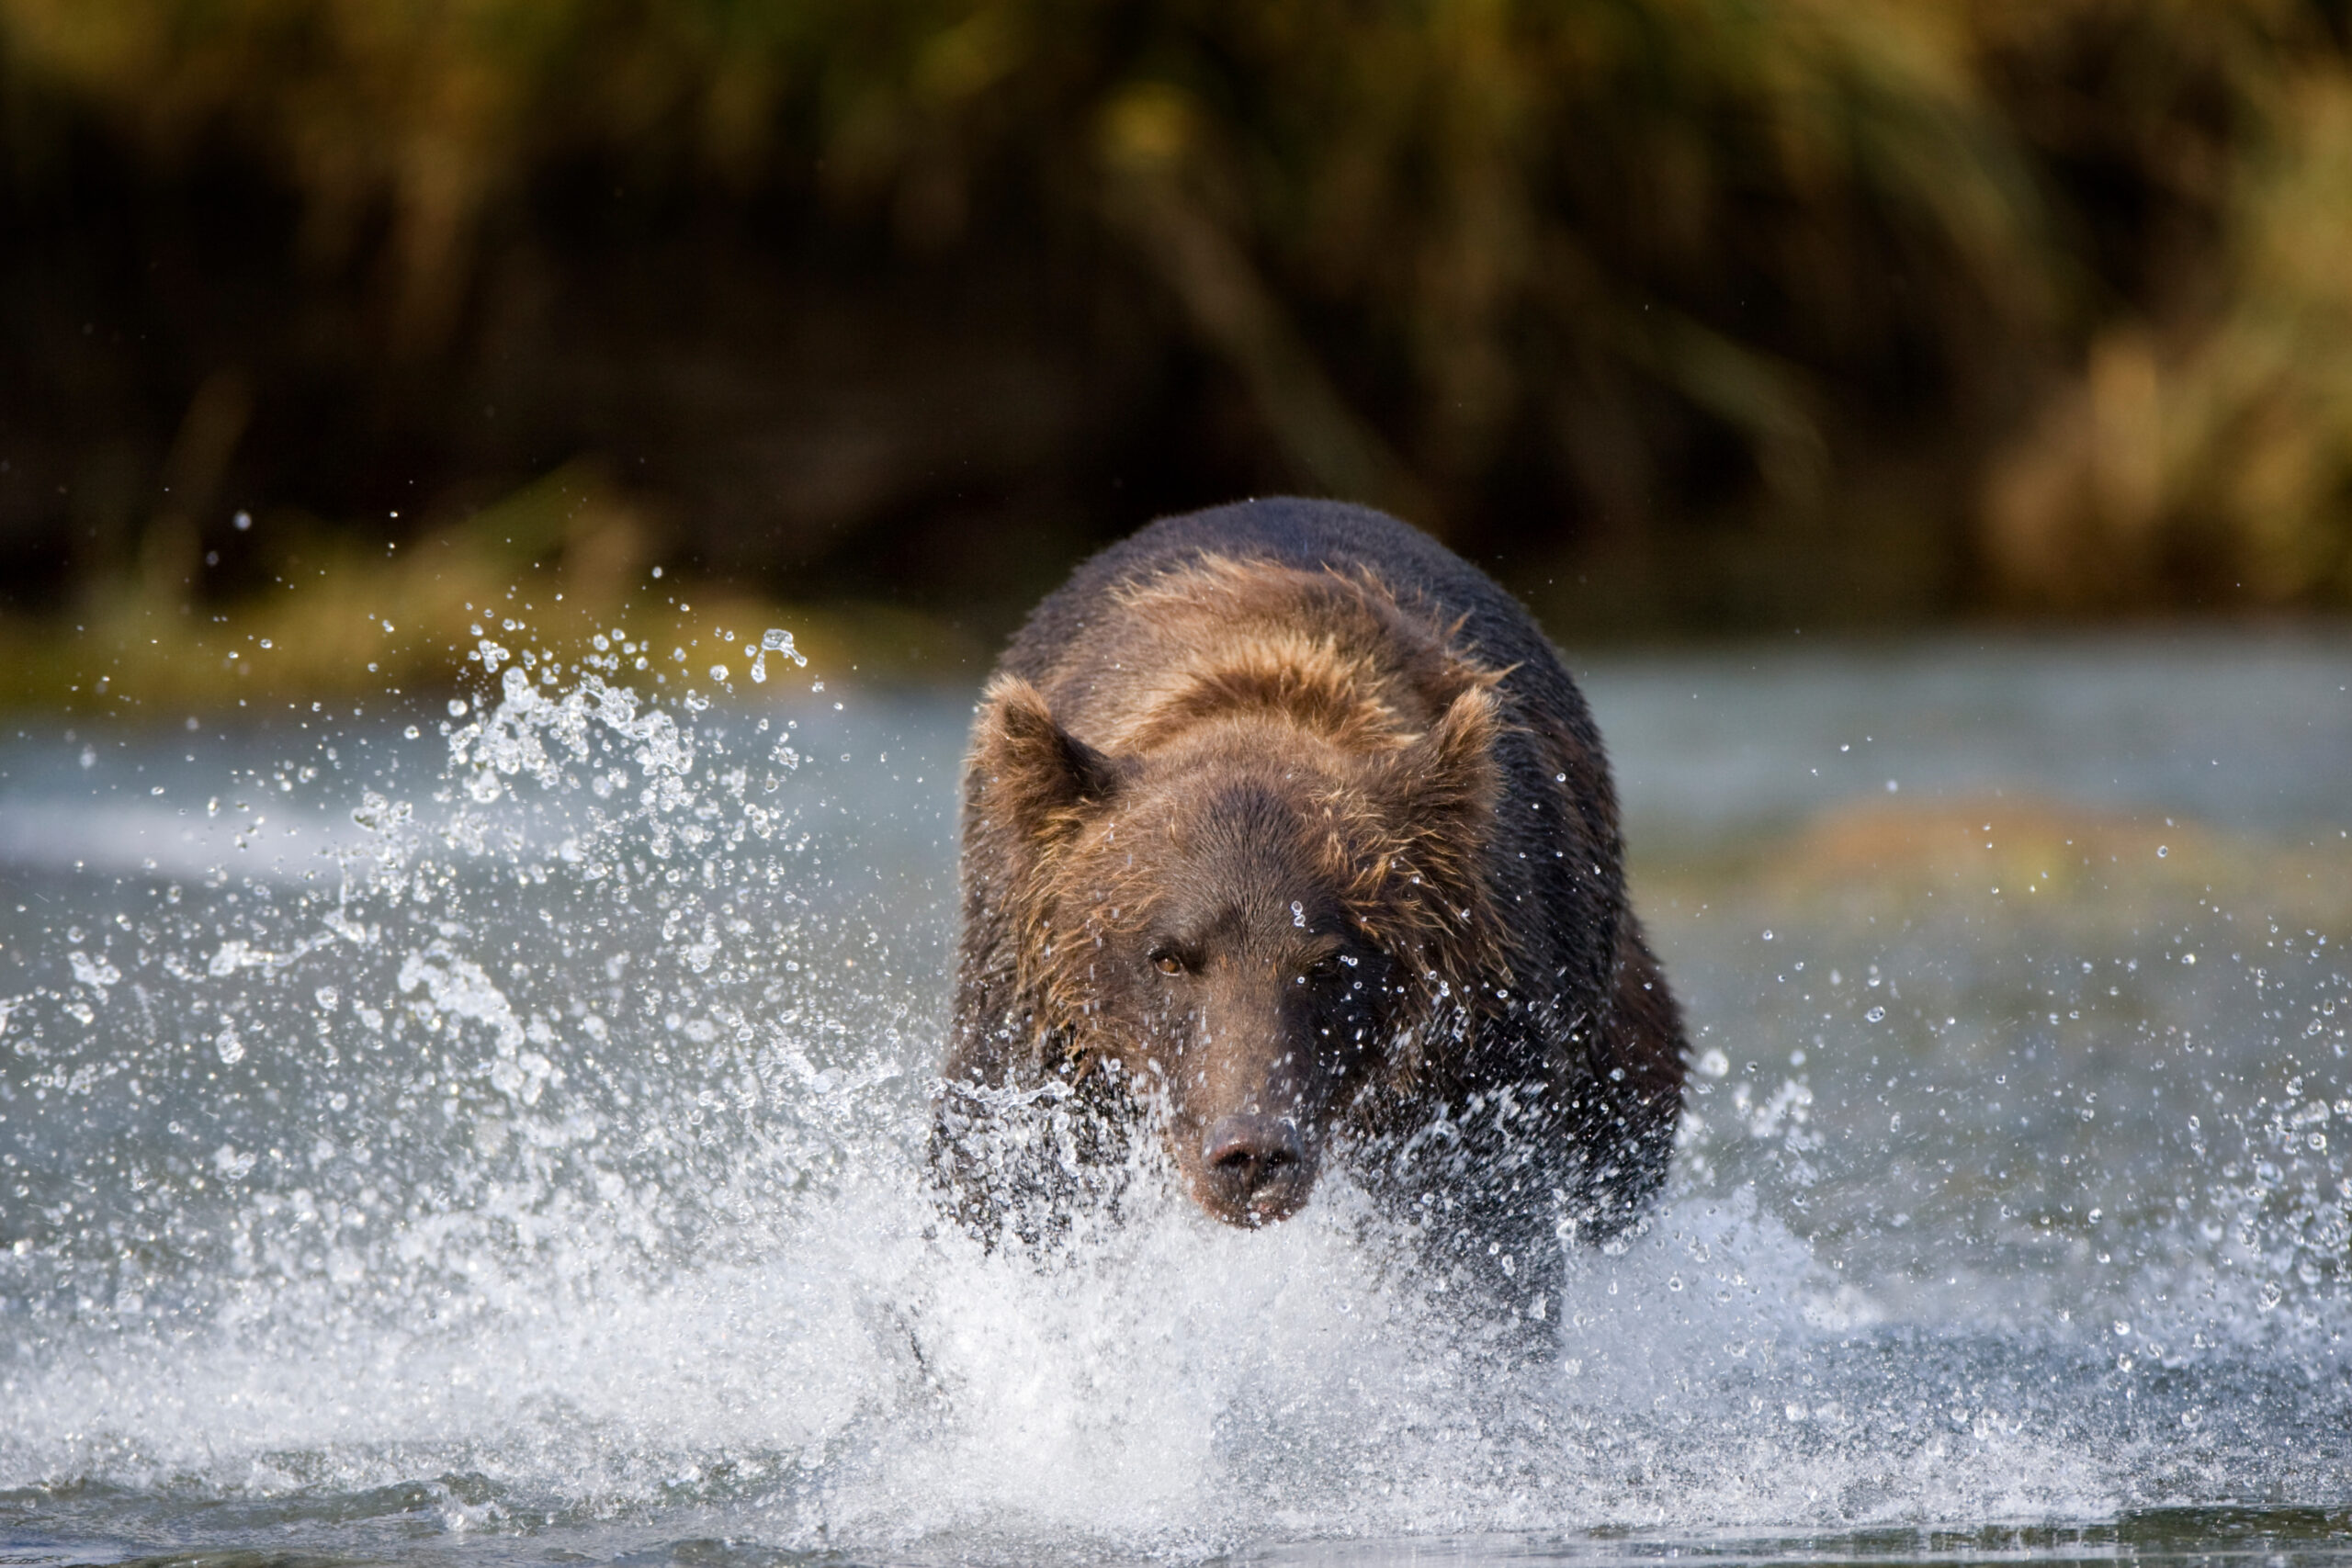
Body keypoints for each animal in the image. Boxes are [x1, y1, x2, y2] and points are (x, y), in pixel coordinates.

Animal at [926, 502, 1683, 1316]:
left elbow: (1480, 1250)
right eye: (1169, 956)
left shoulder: (1474, 1047)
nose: (1252, 1150)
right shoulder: (1040, 1028)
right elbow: (1013, 1194)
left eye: (1330, 961)